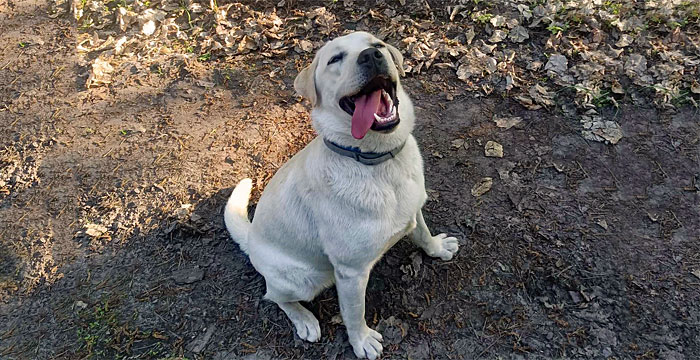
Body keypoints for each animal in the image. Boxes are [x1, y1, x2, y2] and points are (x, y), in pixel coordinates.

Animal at [224, 32, 462, 358]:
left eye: (377, 44)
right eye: (335, 59)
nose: (371, 56)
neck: (377, 161)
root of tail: (251, 239)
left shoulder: (414, 210)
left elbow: (423, 234)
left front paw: (437, 248)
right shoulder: (351, 273)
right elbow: (354, 312)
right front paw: (361, 341)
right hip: (304, 279)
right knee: (274, 296)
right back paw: (304, 320)